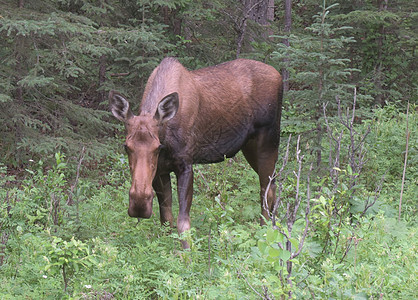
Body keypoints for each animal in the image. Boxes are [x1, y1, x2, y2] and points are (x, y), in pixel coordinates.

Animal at [109, 56, 282, 248]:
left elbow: (183, 221)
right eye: (126, 146)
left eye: (157, 147)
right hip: (249, 147)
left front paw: (188, 252)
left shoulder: (185, 164)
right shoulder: (159, 171)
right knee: (273, 185)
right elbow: (166, 218)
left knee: (266, 190)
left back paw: (265, 233)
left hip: (269, 140)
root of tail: (279, 75)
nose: (139, 204)